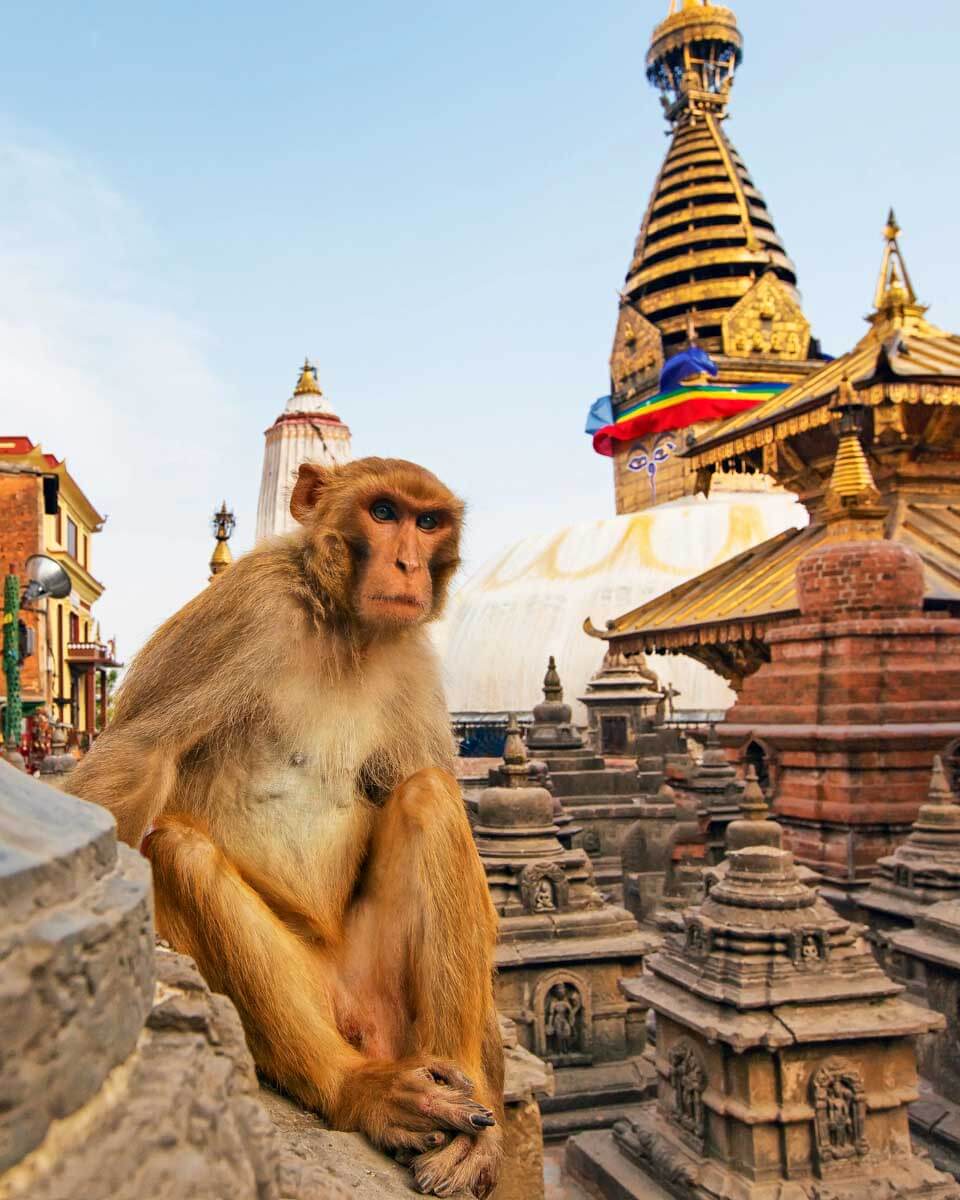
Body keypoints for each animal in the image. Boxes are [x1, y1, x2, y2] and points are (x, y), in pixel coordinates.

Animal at [68, 457, 504, 1198]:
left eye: (427, 521)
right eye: (383, 514)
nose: (409, 563)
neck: (344, 626)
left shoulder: (412, 657)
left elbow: (421, 782)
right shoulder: (248, 608)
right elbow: (139, 755)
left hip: (388, 996)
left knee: (428, 794)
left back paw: (463, 1087)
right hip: (311, 996)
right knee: (178, 851)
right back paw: (358, 1089)